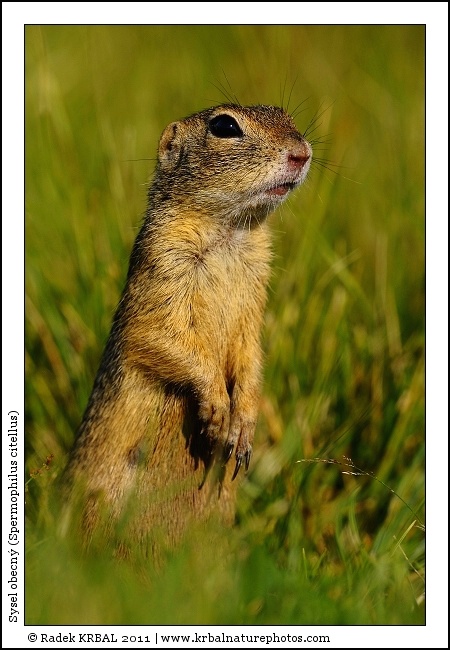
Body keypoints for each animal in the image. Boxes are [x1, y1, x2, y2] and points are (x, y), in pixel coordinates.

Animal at [64, 104, 312, 549]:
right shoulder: (163, 269)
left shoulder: (254, 307)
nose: (301, 153)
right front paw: (216, 410)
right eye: (224, 126)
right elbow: (159, 337)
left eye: (284, 113)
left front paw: (242, 426)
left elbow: (251, 357)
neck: (231, 232)